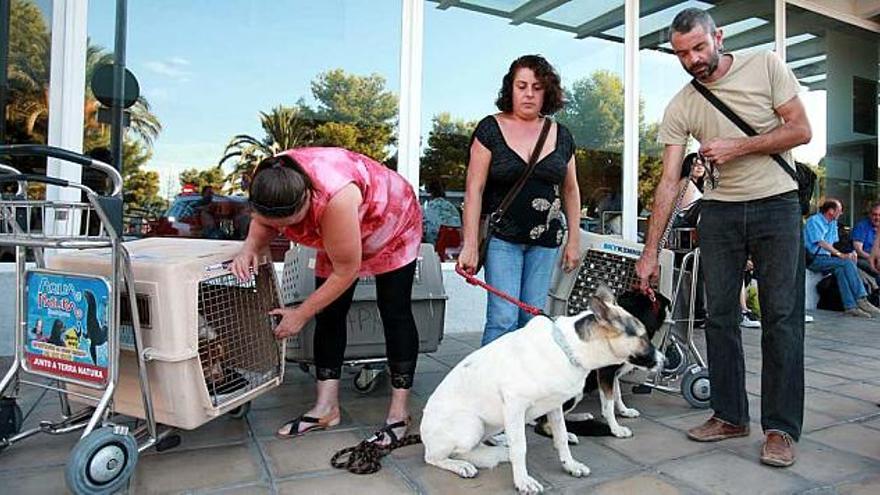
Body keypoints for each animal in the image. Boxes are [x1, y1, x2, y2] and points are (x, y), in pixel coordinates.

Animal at [420, 288, 660, 494]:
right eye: (643, 336)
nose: (664, 361)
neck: (567, 348)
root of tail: (423, 433)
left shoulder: (555, 405)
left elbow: (561, 437)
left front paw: (570, 465)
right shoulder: (515, 407)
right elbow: (520, 448)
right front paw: (522, 481)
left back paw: (499, 442)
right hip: (471, 426)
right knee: (435, 457)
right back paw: (461, 464)